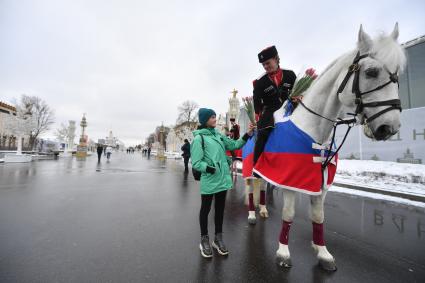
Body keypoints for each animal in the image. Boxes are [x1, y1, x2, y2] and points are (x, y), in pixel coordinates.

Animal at [258, 23, 404, 270]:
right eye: (371, 72)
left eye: (397, 75)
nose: (389, 127)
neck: (314, 130)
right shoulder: (289, 181)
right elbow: (288, 214)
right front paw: (283, 252)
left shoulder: (321, 185)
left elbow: (319, 217)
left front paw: (323, 253)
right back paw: (257, 211)